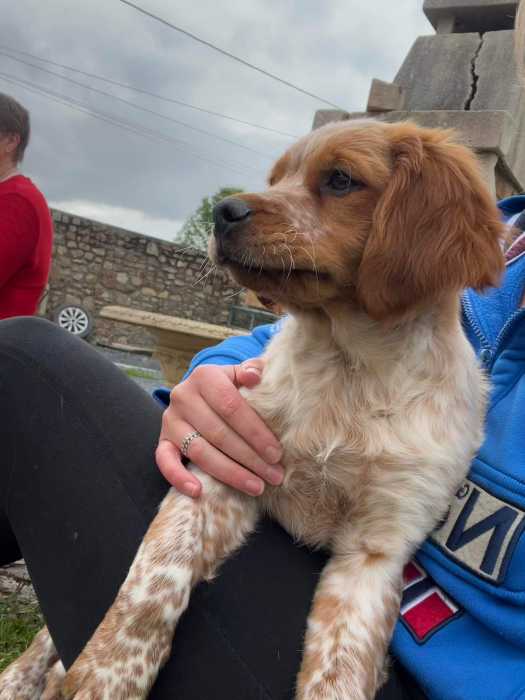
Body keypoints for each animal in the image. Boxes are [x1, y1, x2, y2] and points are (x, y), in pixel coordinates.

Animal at [1, 120, 508, 700]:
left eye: (340, 179)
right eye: (276, 178)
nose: (224, 211)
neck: (351, 366)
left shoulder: (375, 551)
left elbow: (338, 673)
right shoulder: (222, 472)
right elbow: (152, 581)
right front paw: (104, 677)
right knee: (48, 641)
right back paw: (19, 680)